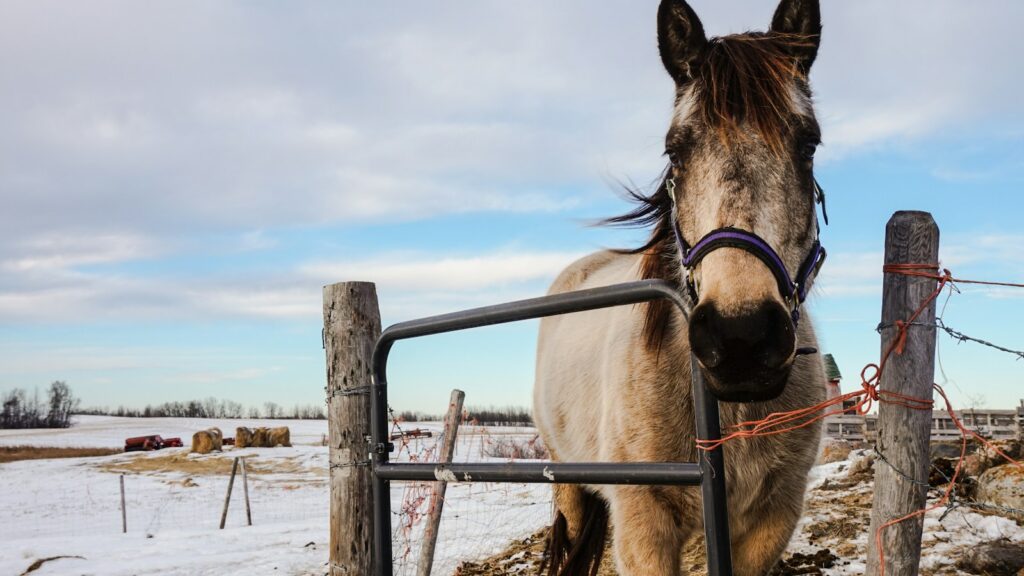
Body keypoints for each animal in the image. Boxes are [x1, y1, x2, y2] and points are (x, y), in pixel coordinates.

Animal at [534, 1, 828, 574]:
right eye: (675, 152)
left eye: (808, 144)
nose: (741, 337)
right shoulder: (643, 525)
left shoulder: (772, 519)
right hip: (569, 484)